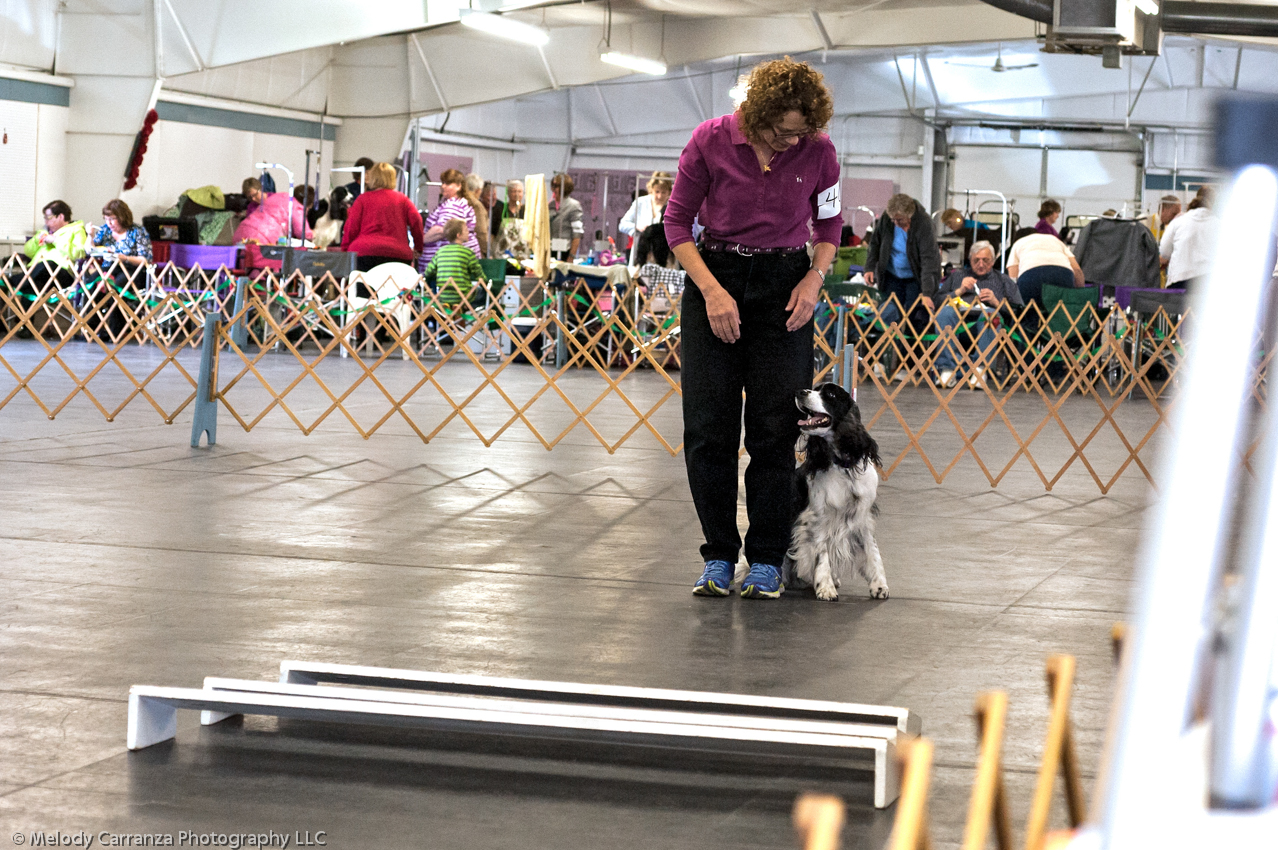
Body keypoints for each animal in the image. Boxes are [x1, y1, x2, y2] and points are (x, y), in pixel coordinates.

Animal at [787, 380, 889, 600]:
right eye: (815, 388)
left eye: (831, 395)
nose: (800, 392)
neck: (844, 467)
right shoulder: (818, 517)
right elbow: (822, 552)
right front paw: (825, 587)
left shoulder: (863, 515)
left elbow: (872, 549)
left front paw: (879, 585)